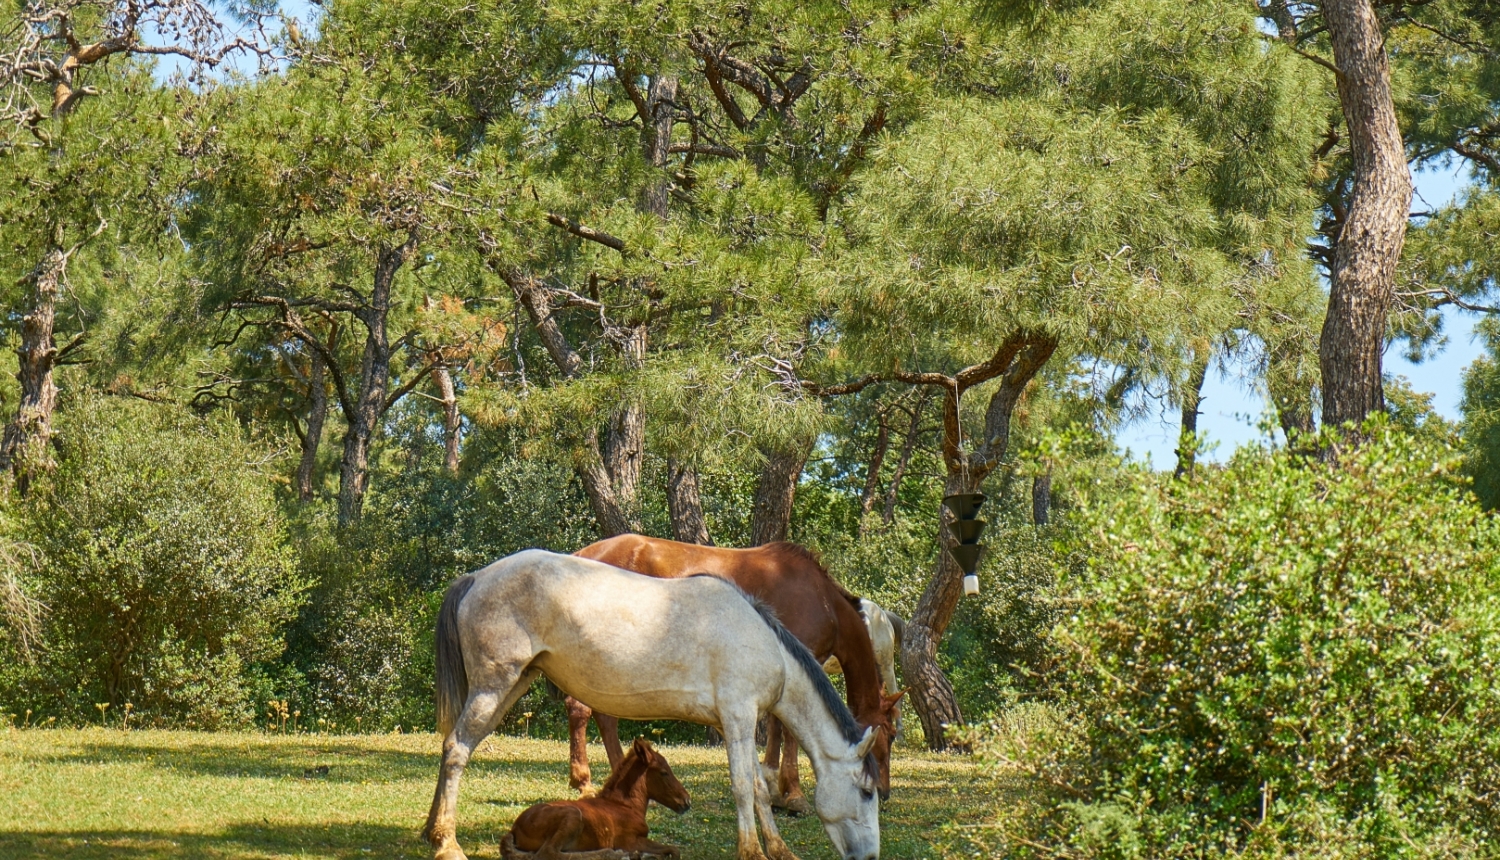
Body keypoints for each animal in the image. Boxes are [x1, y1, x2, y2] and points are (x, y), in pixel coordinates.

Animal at [504, 732, 690, 858]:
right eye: (664, 772)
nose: (686, 801)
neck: (625, 805)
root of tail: (515, 827)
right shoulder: (630, 841)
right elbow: (674, 849)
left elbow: (671, 850)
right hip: (572, 815)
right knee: (549, 853)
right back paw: (611, 854)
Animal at [567, 537, 900, 810]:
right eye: (891, 734)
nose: (884, 792)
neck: (823, 601)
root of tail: (582, 554)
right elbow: (788, 730)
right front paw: (793, 794)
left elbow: (777, 727)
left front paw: (774, 786)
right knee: (584, 710)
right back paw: (587, 780)